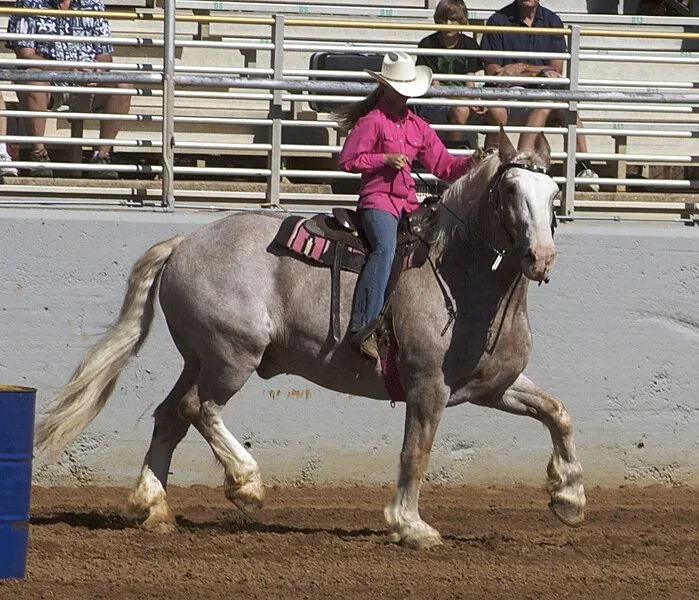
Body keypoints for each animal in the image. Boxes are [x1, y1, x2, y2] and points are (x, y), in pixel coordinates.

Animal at [35, 130, 585, 549]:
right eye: (510, 190)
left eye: (553, 193)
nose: (540, 257)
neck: (457, 274)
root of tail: (185, 242)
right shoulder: (427, 387)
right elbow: (416, 453)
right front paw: (411, 527)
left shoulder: (493, 386)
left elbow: (557, 412)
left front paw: (570, 497)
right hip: (232, 355)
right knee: (199, 410)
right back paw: (246, 483)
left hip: (200, 357)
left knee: (171, 415)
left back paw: (153, 507)